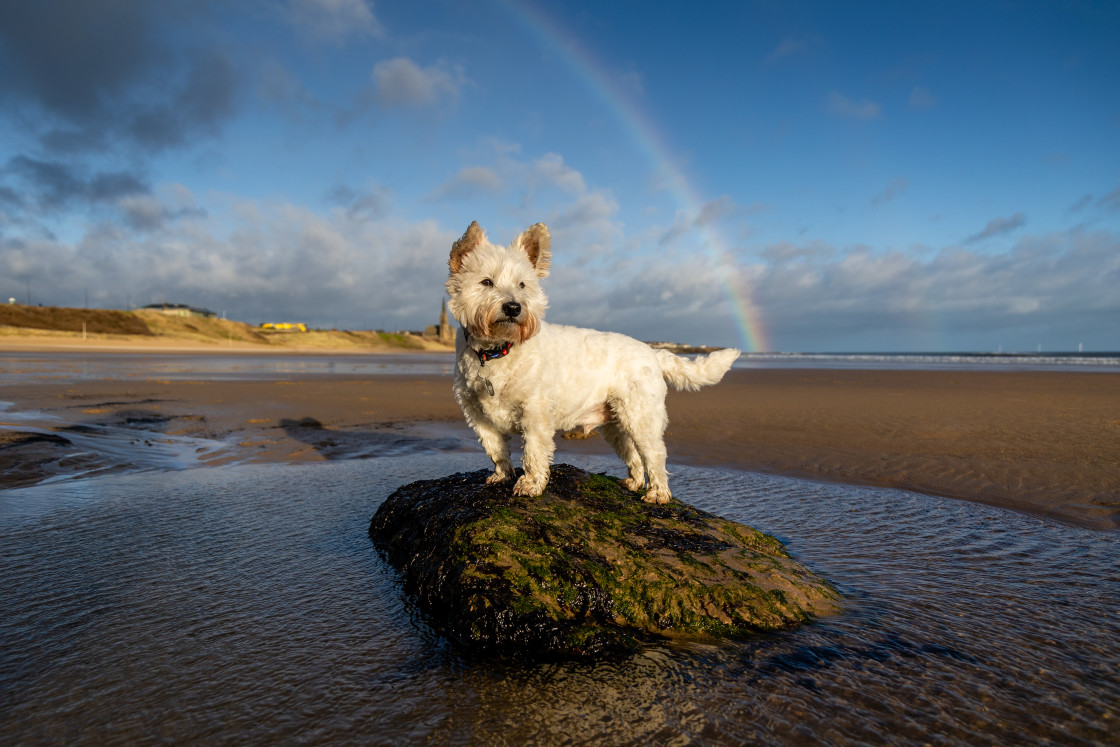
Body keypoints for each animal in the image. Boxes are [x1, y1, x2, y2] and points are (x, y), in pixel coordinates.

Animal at [441, 220, 739, 501]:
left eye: (522, 285)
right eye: (486, 282)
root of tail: (653, 352)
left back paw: (658, 494)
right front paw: (502, 476)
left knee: (654, 454)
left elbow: (533, 452)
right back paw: (633, 483)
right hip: (615, 425)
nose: (514, 307)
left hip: (640, 417)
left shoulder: (535, 413)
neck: (497, 350)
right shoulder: (477, 415)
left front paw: (530, 484)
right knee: (633, 455)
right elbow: (496, 449)